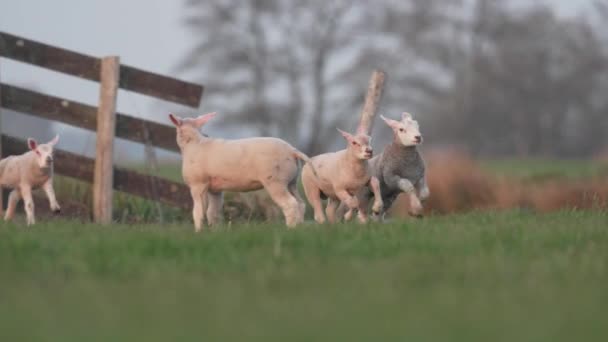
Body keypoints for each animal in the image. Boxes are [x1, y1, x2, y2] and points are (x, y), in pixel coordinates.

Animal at [169, 113, 316, 231]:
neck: (193, 143)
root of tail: (292, 151)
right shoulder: (215, 189)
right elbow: (213, 212)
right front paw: (215, 231)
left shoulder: (198, 185)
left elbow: (198, 212)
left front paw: (198, 231)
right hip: (291, 182)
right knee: (300, 203)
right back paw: (299, 226)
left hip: (276, 181)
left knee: (290, 204)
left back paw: (290, 228)